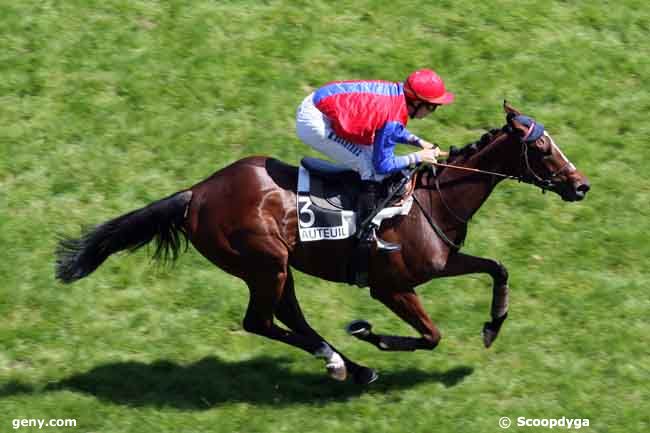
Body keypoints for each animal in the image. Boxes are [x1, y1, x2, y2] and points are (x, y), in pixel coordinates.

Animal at [54, 102, 588, 384]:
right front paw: (371, 333)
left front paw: (493, 326)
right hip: (265, 263)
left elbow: (497, 267)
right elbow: (430, 335)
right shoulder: (391, 286)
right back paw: (343, 362)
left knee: (287, 318)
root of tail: (197, 193)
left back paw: (351, 367)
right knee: (261, 321)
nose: (580, 185)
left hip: (276, 267)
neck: (433, 201)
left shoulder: (441, 262)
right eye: (543, 149)